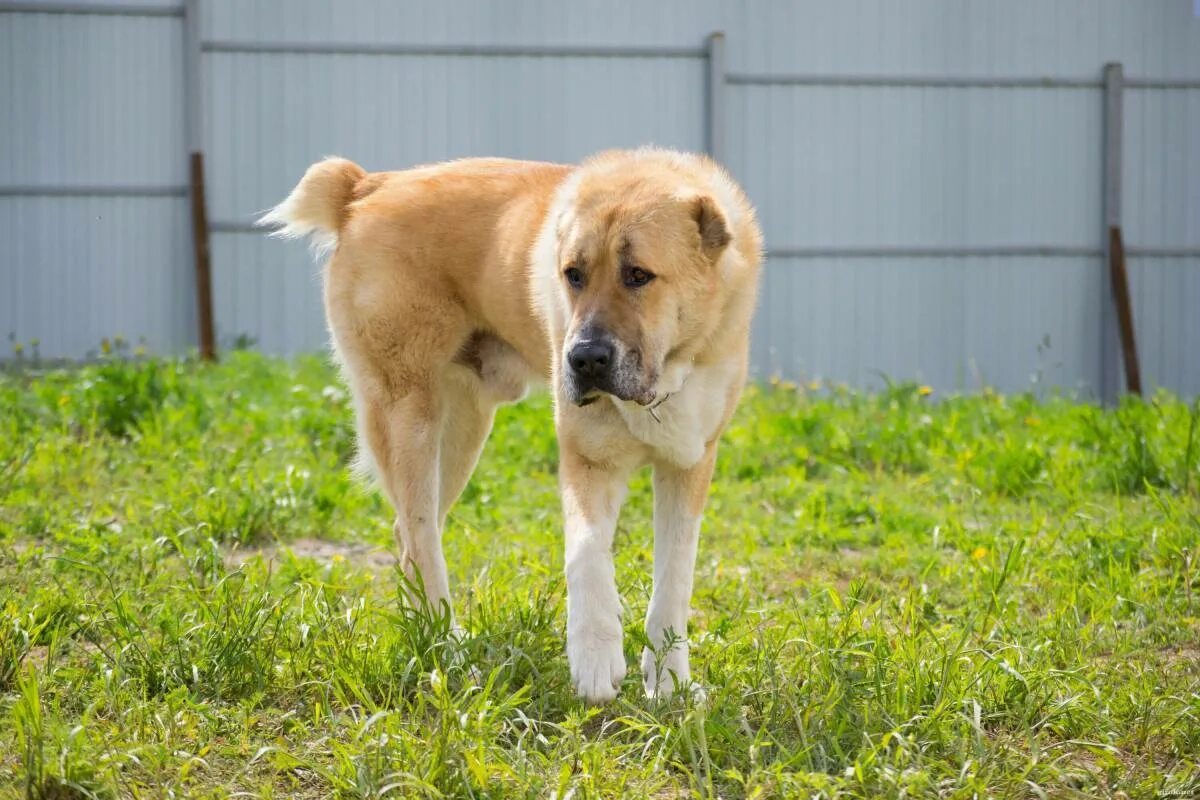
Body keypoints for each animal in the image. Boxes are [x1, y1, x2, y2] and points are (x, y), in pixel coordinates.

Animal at [267, 148, 763, 700]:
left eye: (638, 275)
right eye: (573, 275)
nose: (583, 359)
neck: (664, 373)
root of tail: (365, 187)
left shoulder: (689, 464)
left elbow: (674, 579)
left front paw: (671, 683)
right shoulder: (587, 459)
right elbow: (586, 552)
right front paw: (595, 658)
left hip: (463, 430)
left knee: (410, 535)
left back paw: (427, 637)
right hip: (410, 416)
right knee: (420, 538)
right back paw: (449, 651)